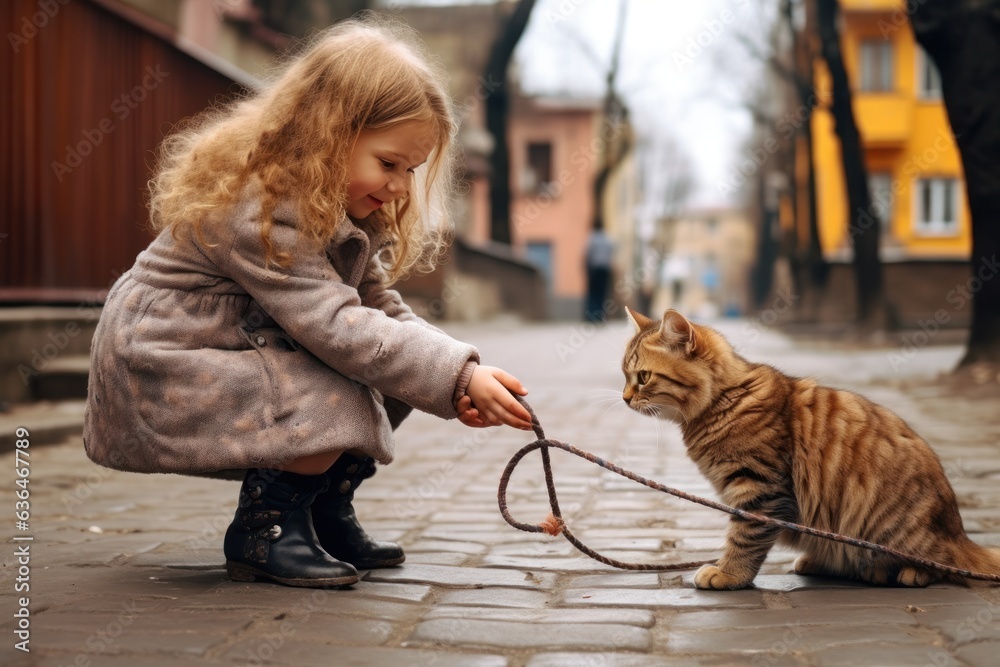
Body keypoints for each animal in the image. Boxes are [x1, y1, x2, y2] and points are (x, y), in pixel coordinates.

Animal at [620, 308, 996, 588]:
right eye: (624, 375)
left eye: (643, 377)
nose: (624, 399)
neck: (725, 399)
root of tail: (959, 534)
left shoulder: (760, 490)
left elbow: (743, 538)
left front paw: (728, 573)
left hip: (895, 530)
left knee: (941, 565)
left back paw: (906, 573)